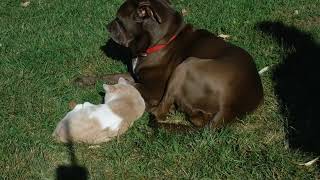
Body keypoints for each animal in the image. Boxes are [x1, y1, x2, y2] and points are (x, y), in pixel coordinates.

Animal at [75, 0, 262, 129]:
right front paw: (84, 80)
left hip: (187, 65)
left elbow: (131, 87)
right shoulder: (135, 74)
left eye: (119, 20)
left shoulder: (153, 88)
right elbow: (111, 76)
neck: (162, 41)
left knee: (160, 112)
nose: (107, 26)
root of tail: (229, 105)